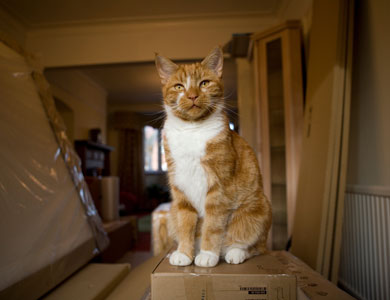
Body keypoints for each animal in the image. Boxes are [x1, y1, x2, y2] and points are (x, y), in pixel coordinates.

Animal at [155, 47, 272, 268]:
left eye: (204, 83)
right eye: (179, 86)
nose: (192, 96)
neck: (191, 130)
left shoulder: (219, 187)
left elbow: (212, 224)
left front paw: (208, 254)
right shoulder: (180, 190)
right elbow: (185, 223)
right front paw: (185, 253)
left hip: (259, 210)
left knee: (255, 246)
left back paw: (234, 252)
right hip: (172, 212)